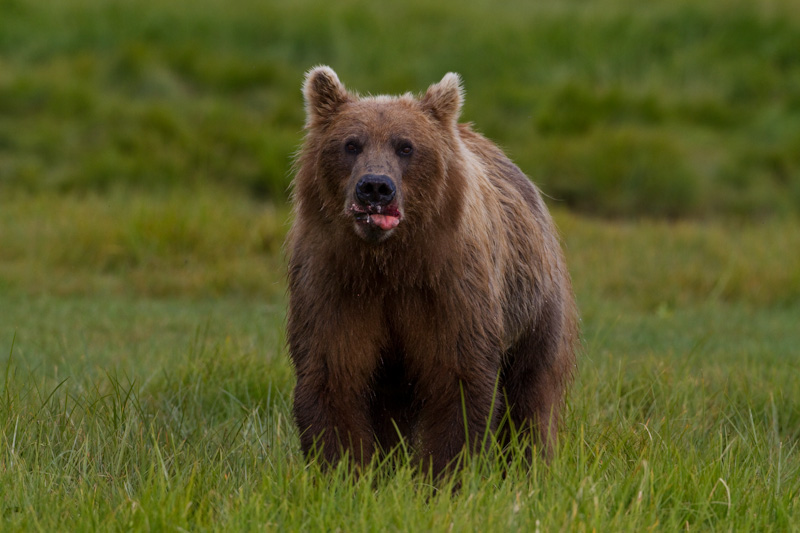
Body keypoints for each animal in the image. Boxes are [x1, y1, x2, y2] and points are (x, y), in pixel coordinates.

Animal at [286, 64, 576, 476]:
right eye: (351, 144)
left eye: (405, 146)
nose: (375, 187)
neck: (390, 263)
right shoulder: (334, 282)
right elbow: (332, 374)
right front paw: (346, 471)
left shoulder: (449, 288)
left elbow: (458, 380)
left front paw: (445, 474)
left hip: (533, 305)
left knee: (531, 391)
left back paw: (528, 467)